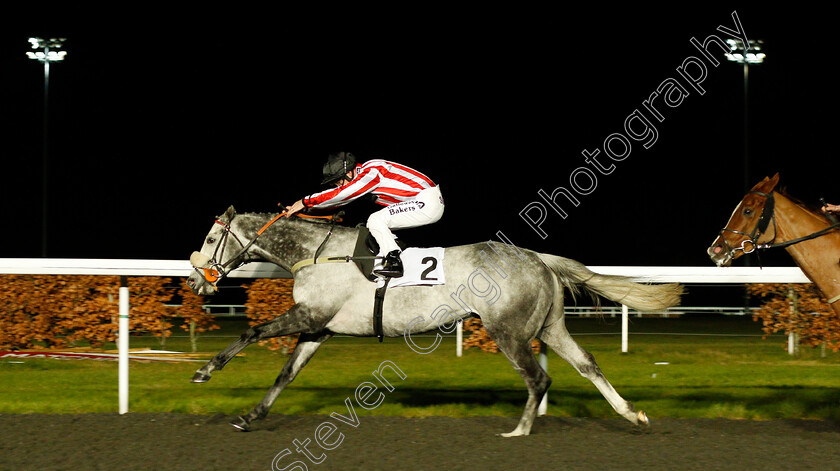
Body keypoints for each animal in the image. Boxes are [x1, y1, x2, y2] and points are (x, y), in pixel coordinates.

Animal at [185, 208, 684, 436]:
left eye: (209, 238)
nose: (194, 279)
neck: (316, 253)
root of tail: (539, 258)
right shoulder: (318, 326)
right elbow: (286, 374)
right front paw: (250, 416)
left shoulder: (309, 314)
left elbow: (252, 332)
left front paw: (205, 370)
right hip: (550, 326)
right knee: (587, 364)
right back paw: (632, 413)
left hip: (508, 330)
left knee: (538, 378)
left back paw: (520, 429)